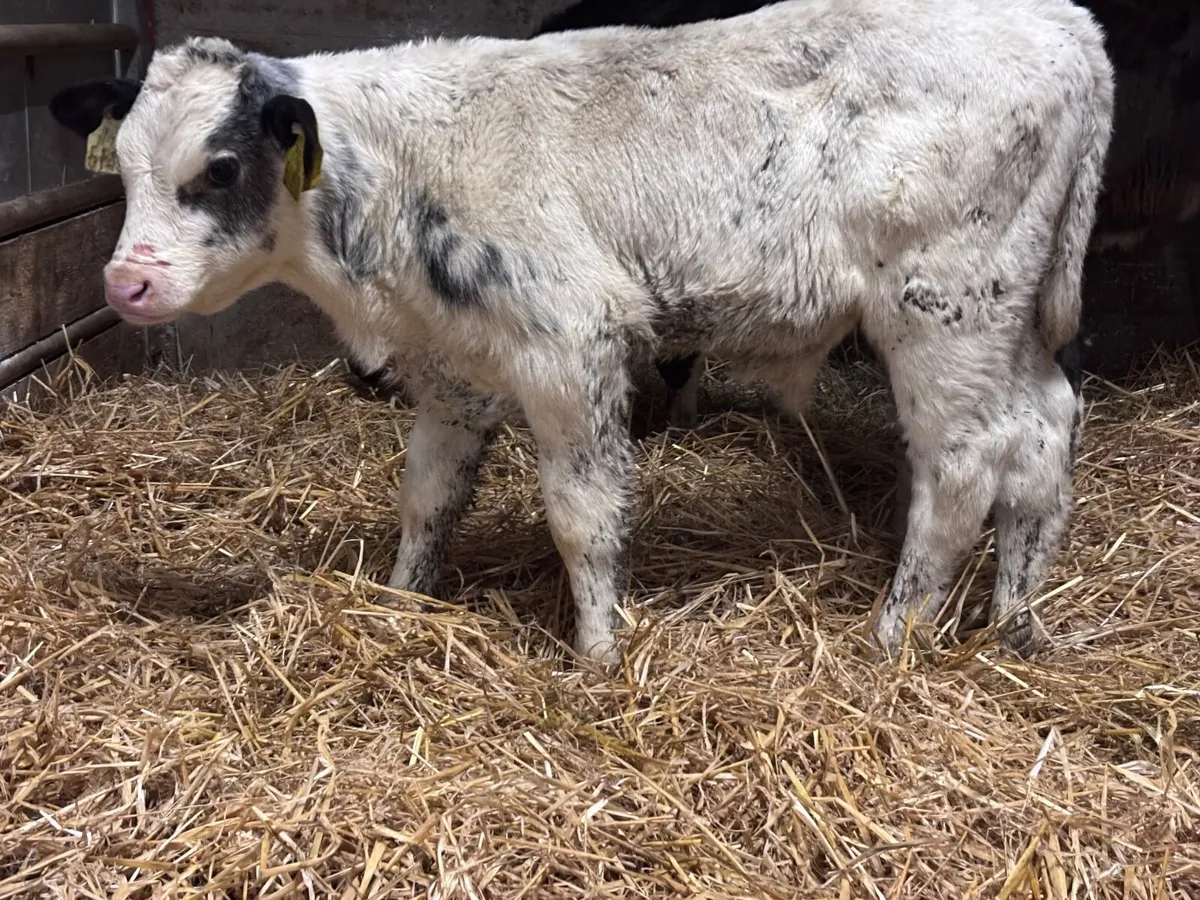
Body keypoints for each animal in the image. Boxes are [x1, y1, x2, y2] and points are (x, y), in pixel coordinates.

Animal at [48, 0, 1114, 665]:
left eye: (220, 168)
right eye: (124, 165)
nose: (126, 281)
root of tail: (1066, 25)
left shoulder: (571, 345)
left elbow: (583, 514)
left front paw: (599, 652)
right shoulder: (452, 370)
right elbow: (427, 501)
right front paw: (400, 603)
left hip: (943, 310)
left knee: (965, 466)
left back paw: (892, 637)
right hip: (1008, 318)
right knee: (1043, 433)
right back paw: (1016, 623)